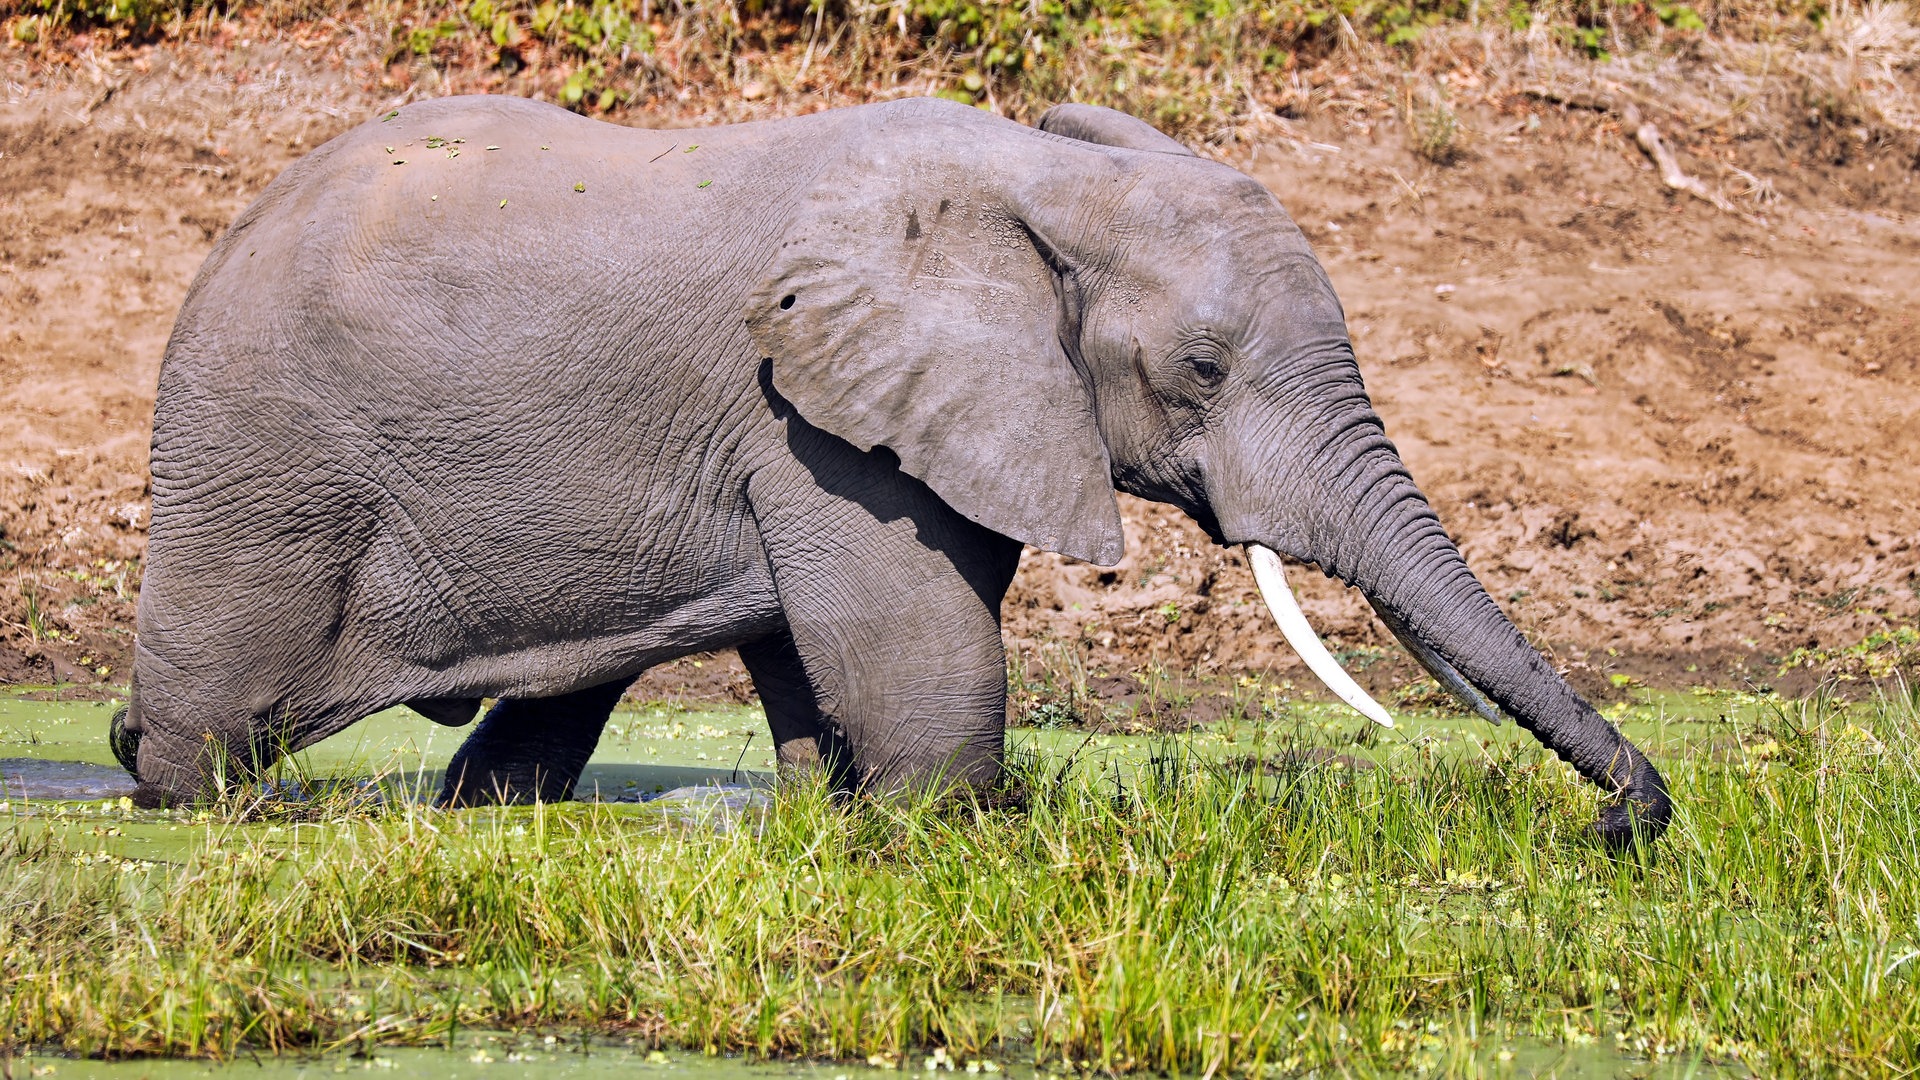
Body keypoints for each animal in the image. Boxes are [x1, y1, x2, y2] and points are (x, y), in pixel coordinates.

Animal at [108, 94, 1666, 841]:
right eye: (1204, 371)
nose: (1627, 824)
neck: (1042, 181)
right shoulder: (814, 419)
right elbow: (924, 684)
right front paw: (954, 828)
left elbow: (829, 674)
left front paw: (830, 816)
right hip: (262, 450)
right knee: (211, 728)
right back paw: (185, 784)